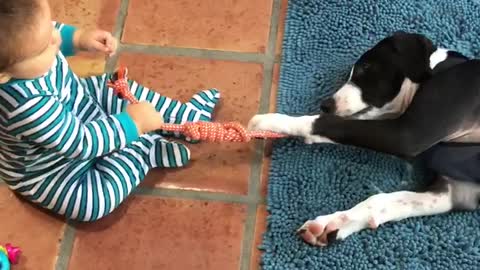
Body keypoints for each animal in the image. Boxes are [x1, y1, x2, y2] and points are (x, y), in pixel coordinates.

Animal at [249, 31, 480, 247]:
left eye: (364, 69)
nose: (325, 105)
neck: (439, 70)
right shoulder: (456, 191)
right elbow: (383, 200)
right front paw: (333, 224)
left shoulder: (409, 134)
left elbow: (326, 124)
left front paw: (272, 122)